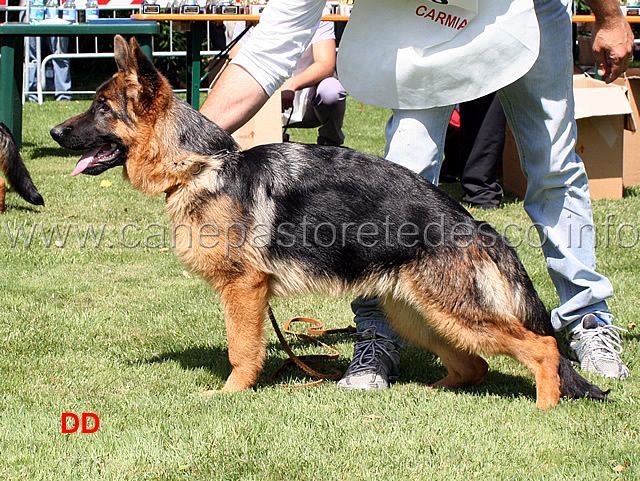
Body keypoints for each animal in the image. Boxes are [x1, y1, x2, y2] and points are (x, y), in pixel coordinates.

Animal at [51, 35, 604, 406]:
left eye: (101, 108)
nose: (55, 132)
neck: (199, 165)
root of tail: (474, 226)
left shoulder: (244, 289)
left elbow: (241, 350)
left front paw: (230, 394)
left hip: (455, 313)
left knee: (542, 347)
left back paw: (545, 405)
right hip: (422, 316)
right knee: (475, 365)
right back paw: (431, 391)